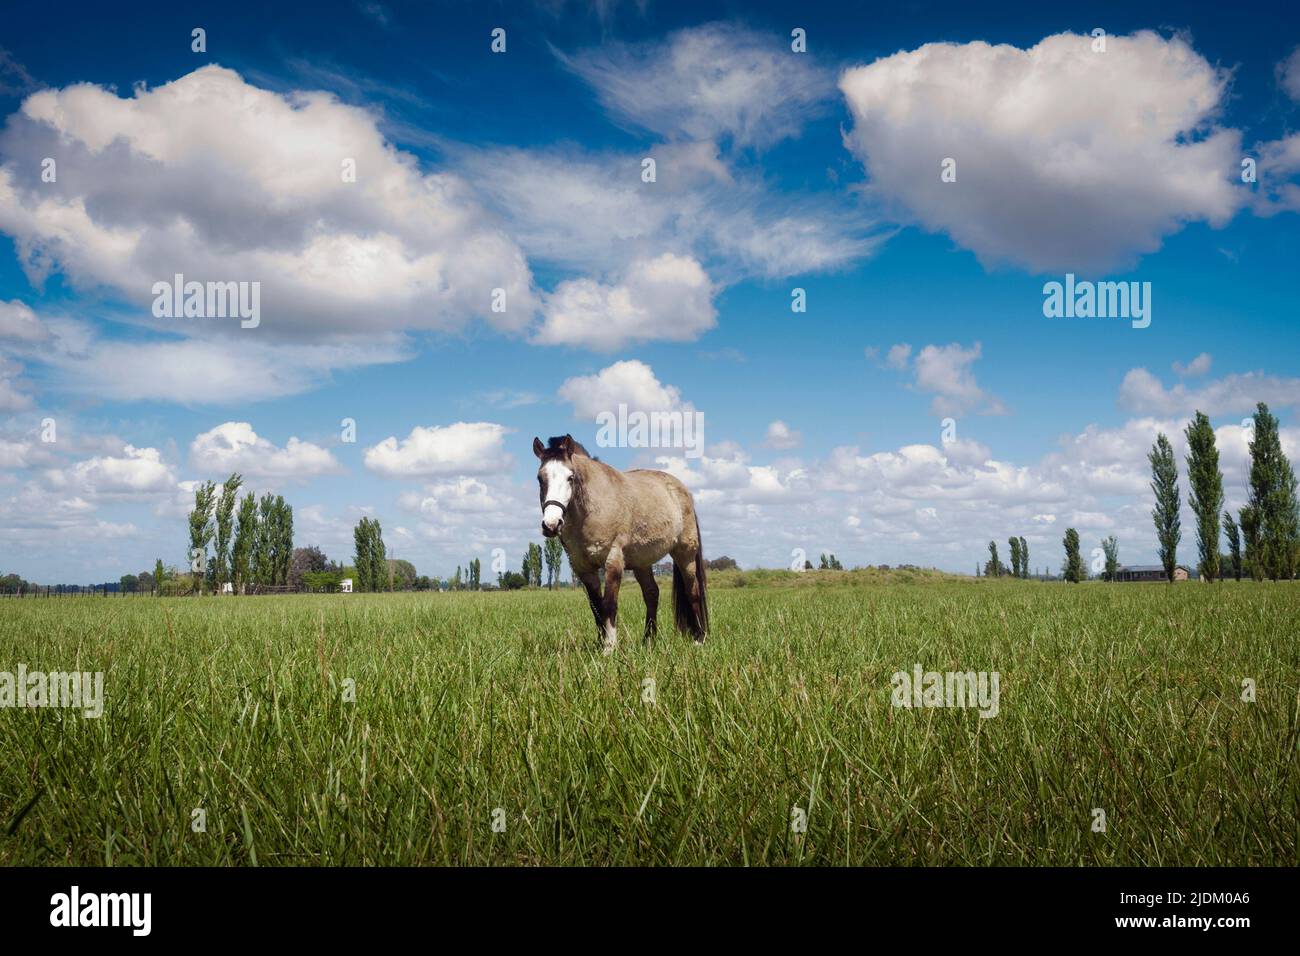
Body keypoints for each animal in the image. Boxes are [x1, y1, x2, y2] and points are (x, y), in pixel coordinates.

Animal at [533, 434, 708, 652]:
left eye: (570, 477)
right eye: (540, 478)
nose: (551, 524)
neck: (591, 508)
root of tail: (682, 490)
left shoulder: (613, 560)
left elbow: (609, 604)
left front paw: (609, 648)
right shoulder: (583, 568)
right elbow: (596, 606)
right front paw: (601, 642)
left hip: (685, 554)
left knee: (692, 591)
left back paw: (699, 638)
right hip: (642, 563)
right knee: (652, 594)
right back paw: (648, 640)